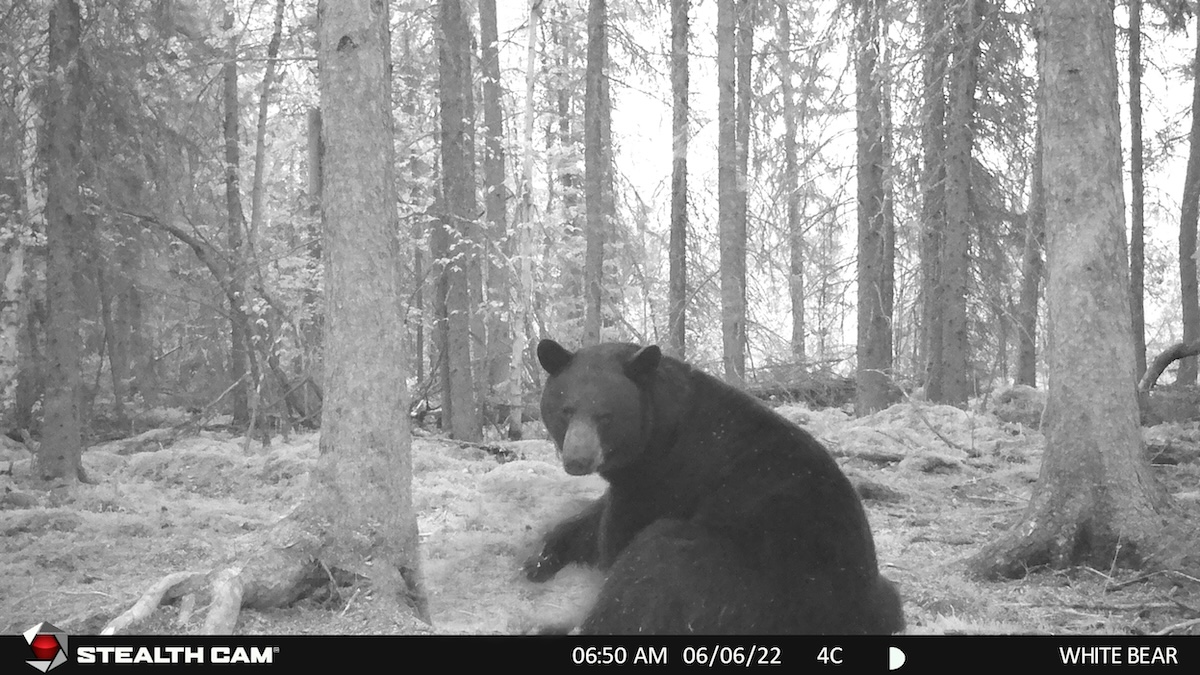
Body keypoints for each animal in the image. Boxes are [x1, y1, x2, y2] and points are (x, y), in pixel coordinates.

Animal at [524, 338, 904, 635]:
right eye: (566, 410)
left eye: (606, 416)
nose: (577, 459)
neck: (662, 431)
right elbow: (588, 520)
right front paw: (539, 559)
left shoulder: (663, 481)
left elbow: (615, 541)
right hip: (877, 593)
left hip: (741, 582)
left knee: (649, 572)